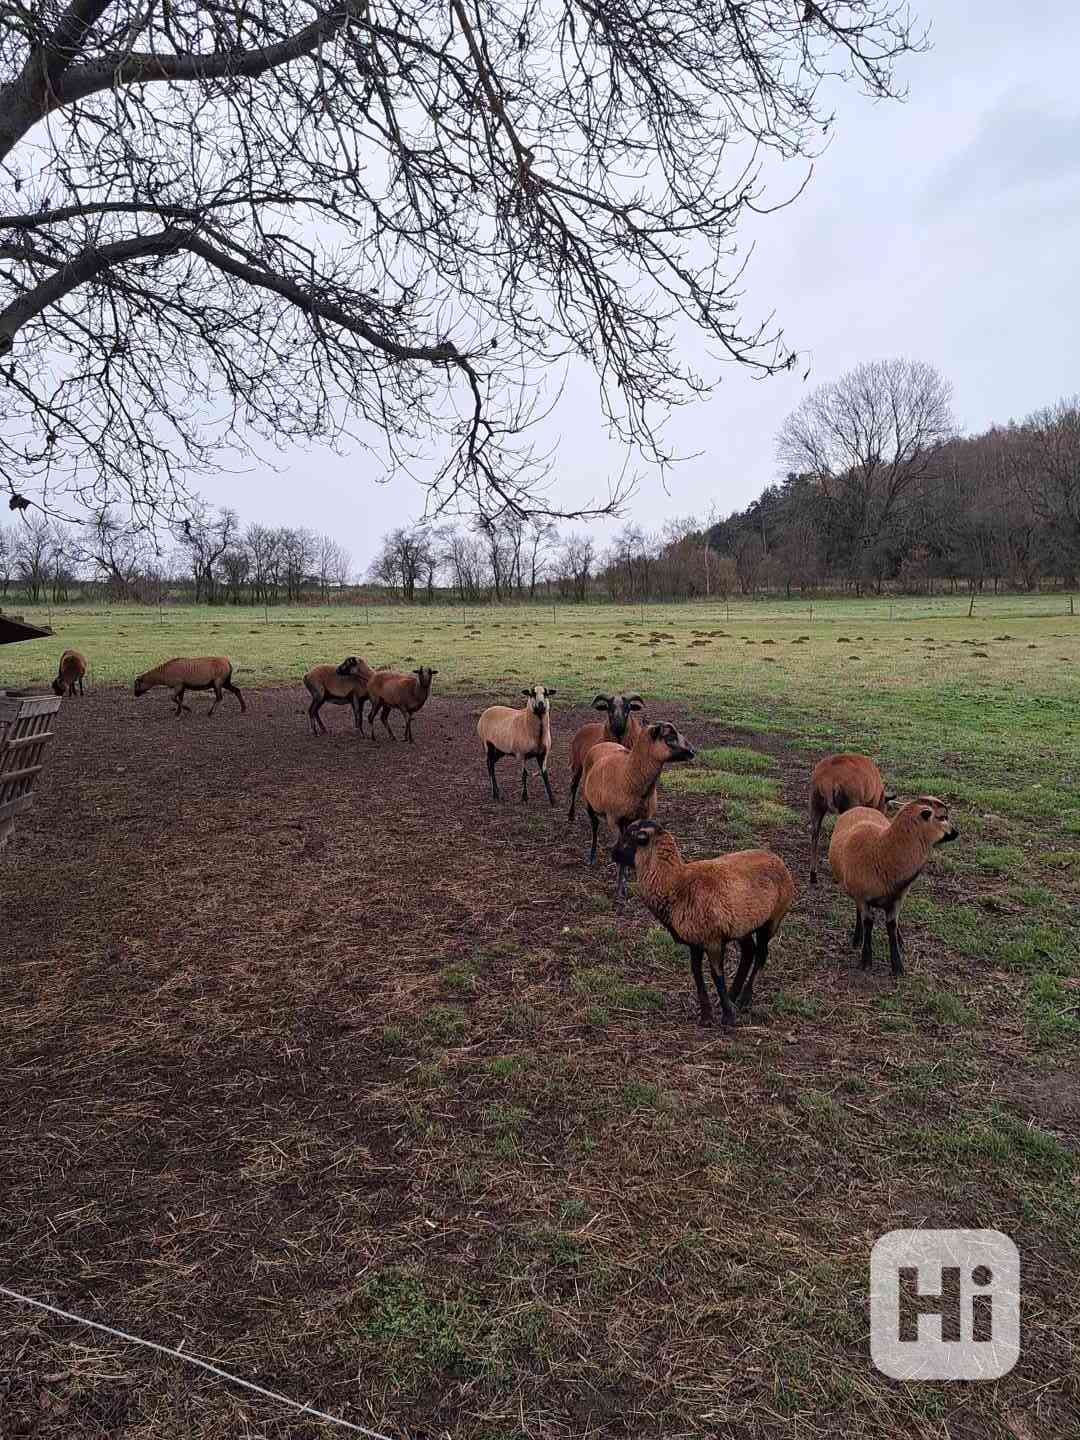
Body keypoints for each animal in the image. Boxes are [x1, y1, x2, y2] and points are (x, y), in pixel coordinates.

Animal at [567, 694, 642, 823]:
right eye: (609, 708)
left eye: (628, 708)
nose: (618, 725)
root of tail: (586, 726)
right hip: (577, 764)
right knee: (574, 786)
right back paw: (571, 814)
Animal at [584, 725, 694, 892]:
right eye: (669, 737)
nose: (693, 751)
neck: (629, 774)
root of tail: (602, 743)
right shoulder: (613, 820)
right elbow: (619, 847)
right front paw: (620, 888)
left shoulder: (643, 818)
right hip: (589, 802)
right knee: (594, 826)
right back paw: (591, 857)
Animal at [613, 823, 800, 1025]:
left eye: (630, 837)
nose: (612, 853)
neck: (676, 885)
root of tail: (777, 859)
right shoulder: (695, 941)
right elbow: (697, 973)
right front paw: (706, 1015)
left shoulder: (713, 940)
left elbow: (716, 975)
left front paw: (727, 1018)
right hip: (742, 925)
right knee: (749, 952)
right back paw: (733, 995)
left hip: (773, 919)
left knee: (761, 955)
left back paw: (744, 999)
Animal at [835, 800, 961, 979]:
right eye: (942, 817)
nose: (956, 832)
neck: (881, 852)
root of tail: (861, 807)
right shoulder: (862, 897)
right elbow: (868, 922)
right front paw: (866, 960)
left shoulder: (897, 899)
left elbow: (892, 926)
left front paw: (898, 966)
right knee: (859, 913)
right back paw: (857, 939)